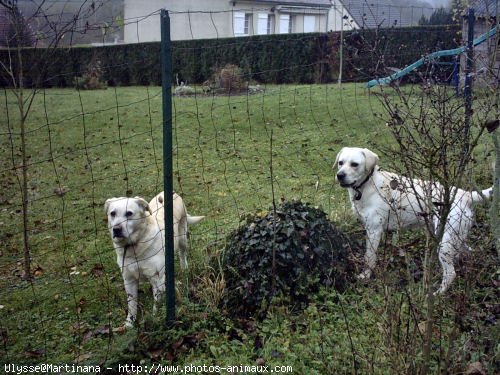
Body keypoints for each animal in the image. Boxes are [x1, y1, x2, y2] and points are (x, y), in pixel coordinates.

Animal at [104, 192, 204, 328]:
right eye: (112, 213)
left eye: (129, 213)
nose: (117, 229)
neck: (135, 247)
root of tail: (173, 193)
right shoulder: (129, 280)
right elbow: (131, 304)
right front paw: (129, 323)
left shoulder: (157, 279)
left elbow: (157, 304)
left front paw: (155, 319)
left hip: (183, 237)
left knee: (182, 255)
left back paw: (184, 269)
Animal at [334, 148, 490, 296]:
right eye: (341, 163)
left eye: (354, 164)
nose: (340, 175)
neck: (368, 184)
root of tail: (465, 194)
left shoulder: (374, 231)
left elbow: (369, 257)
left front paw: (365, 275)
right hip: (454, 236)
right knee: (468, 252)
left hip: (444, 243)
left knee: (451, 273)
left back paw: (437, 294)